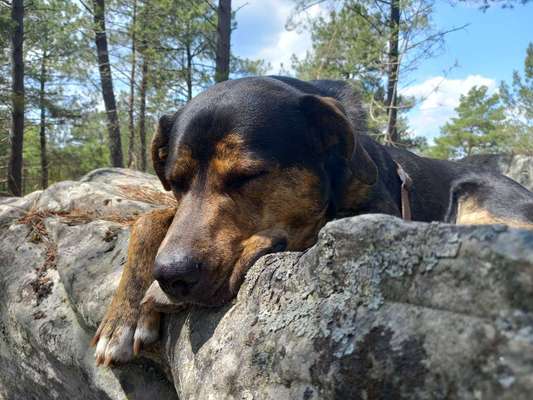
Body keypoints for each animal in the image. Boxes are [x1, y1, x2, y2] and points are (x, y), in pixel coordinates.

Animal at [91, 75, 532, 366]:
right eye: (175, 181)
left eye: (247, 175)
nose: (171, 275)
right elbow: (149, 219)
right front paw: (122, 318)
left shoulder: (372, 213)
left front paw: (151, 298)